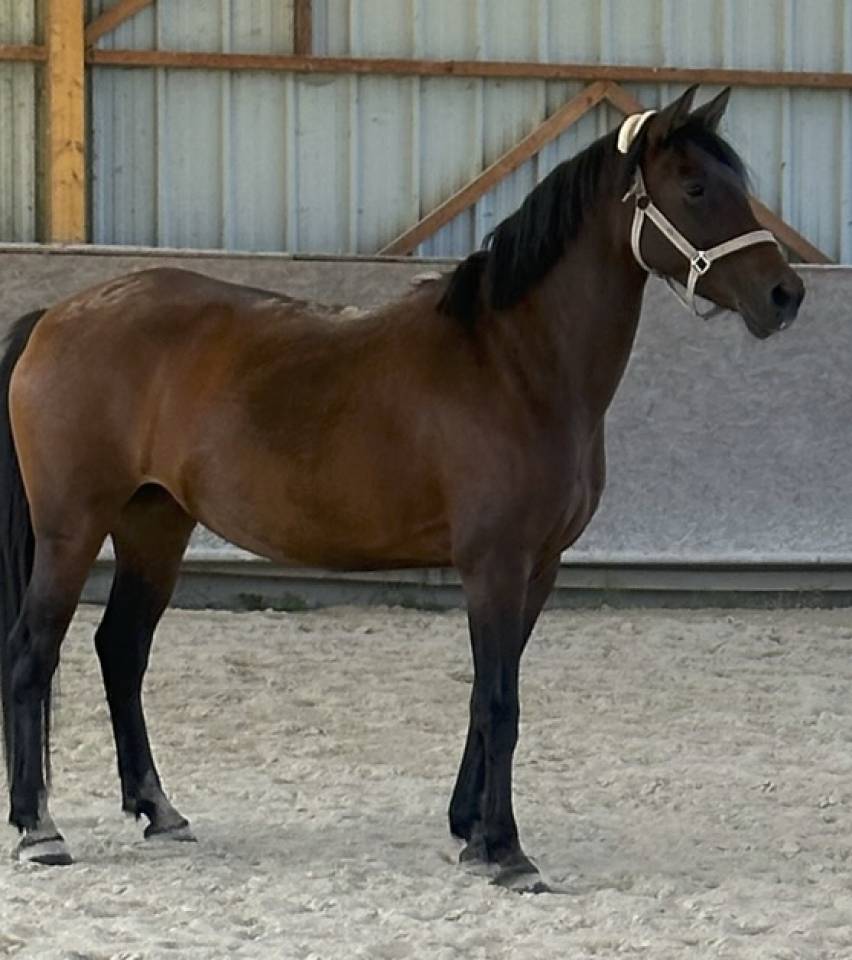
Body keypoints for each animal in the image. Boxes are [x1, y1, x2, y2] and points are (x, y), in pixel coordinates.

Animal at [0, 85, 803, 889]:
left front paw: (469, 831)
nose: (785, 294)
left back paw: (158, 810)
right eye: (695, 188)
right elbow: (500, 701)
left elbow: (487, 698)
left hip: (155, 525)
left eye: (738, 185)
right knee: (32, 652)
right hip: (73, 528)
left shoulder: (538, 569)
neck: (515, 363)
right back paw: (39, 829)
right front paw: (508, 851)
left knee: (121, 650)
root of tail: (55, 317)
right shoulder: (494, 565)